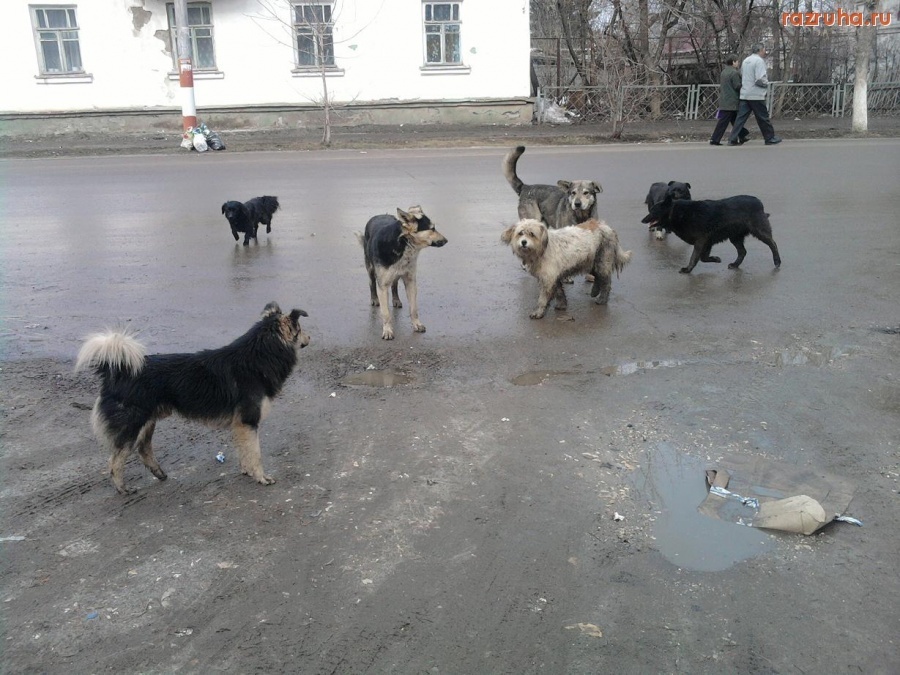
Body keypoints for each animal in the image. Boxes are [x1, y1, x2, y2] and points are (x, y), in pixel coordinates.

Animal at [74, 304, 312, 494]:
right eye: (301, 330)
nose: (310, 338)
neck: (260, 355)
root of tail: (116, 371)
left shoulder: (240, 425)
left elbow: (244, 451)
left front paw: (247, 471)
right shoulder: (248, 422)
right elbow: (255, 453)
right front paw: (261, 477)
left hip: (147, 422)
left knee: (143, 449)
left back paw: (159, 474)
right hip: (132, 425)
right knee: (115, 461)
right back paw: (122, 489)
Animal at [356, 206, 446, 340]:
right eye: (432, 228)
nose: (446, 240)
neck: (403, 243)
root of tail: (379, 214)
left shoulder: (410, 281)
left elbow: (413, 309)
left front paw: (417, 324)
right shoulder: (383, 286)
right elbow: (386, 313)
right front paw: (387, 330)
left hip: (396, 274)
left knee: (394, 285)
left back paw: (396, 300)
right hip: (370, 268)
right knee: (371, 283)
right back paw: (374, 299)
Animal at [500, 218, 632, 320]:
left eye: (532, 234)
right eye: (520, 233)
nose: (523, 242)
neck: (543, 248)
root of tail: (607, 227)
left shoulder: (548, 278)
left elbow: (543, 298)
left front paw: (538, 313)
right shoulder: (553, 276)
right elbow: (559, 291)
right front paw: (562, 305)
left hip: (602, 261)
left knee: (606, 282)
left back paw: (602, 299)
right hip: (591, 262)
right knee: (598, 277)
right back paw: (594, 291)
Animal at [640, 194, 780, 274]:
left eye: (652, 211)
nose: (642, 220)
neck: (675, 212)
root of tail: (758, 201)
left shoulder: (701, 241)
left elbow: (694, 257)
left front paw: (688, 269)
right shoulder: (707, 243)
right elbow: (703, 257)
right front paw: (715, 259)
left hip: (759, 232)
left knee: (773, 244)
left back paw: (777, 261)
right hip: (734, 237)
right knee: (742, 251)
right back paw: (735, 264)